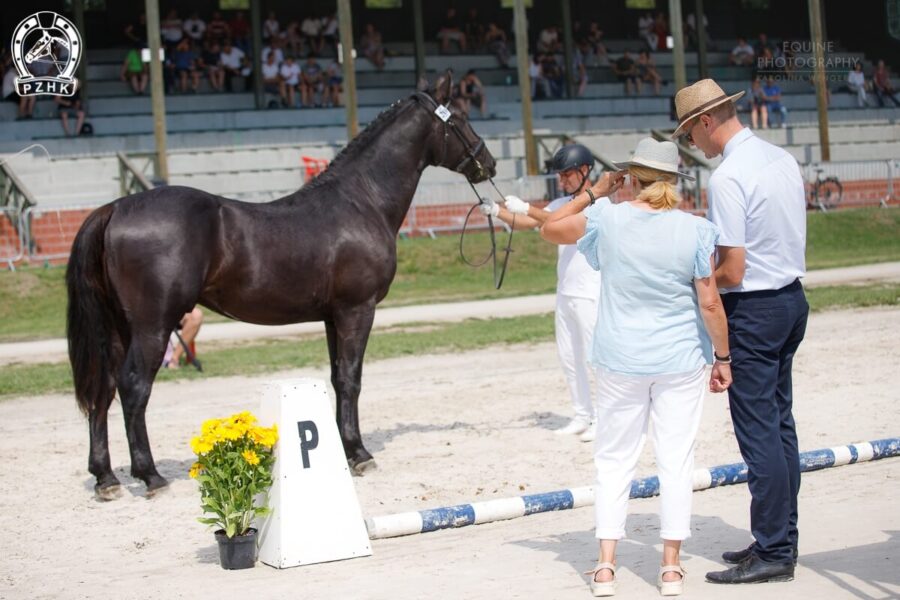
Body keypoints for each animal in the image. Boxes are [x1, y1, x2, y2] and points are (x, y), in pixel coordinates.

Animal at [67, 72, 496, 500]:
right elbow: (352, 379)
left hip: (119, 328)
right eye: (460, 118)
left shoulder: (332, 317)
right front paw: (359, 454)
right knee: (133, 387)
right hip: (152, 327)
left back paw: (106, 478)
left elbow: (338, 377)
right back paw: (150, 475)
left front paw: (345, 449)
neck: (362, 200)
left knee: (104, 389)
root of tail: (115, 208)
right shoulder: (358, 310)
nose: (487, 163)